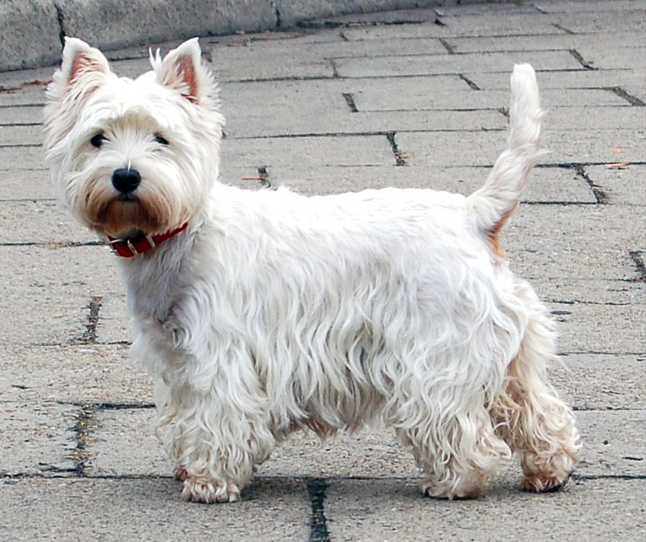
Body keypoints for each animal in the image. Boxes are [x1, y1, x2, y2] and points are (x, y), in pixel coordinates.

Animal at [45, 38, 584, 506]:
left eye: (162, 138)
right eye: (97, 139)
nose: (126, 176)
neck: (177, 232)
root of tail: (473, 213)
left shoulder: (220, 352)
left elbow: (219, 415)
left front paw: (208, 481)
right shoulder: (174, 355)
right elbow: (184, 414)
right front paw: (187, 466)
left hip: (437, 349)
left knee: (459, 424)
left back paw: (452, 483)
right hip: (508, 348)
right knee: (538, 409)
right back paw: (549, 471)